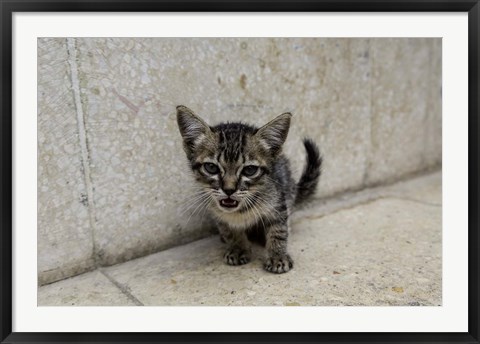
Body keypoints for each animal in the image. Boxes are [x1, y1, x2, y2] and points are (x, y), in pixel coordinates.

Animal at [174, 105, 320, 274]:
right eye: (211, 167)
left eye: (249, 170)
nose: (229, 189)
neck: (241, 211)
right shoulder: (218, 213)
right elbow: (230, 230)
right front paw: (238, 248)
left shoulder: (278, 203)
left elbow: (279, 229)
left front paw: (278, 255)